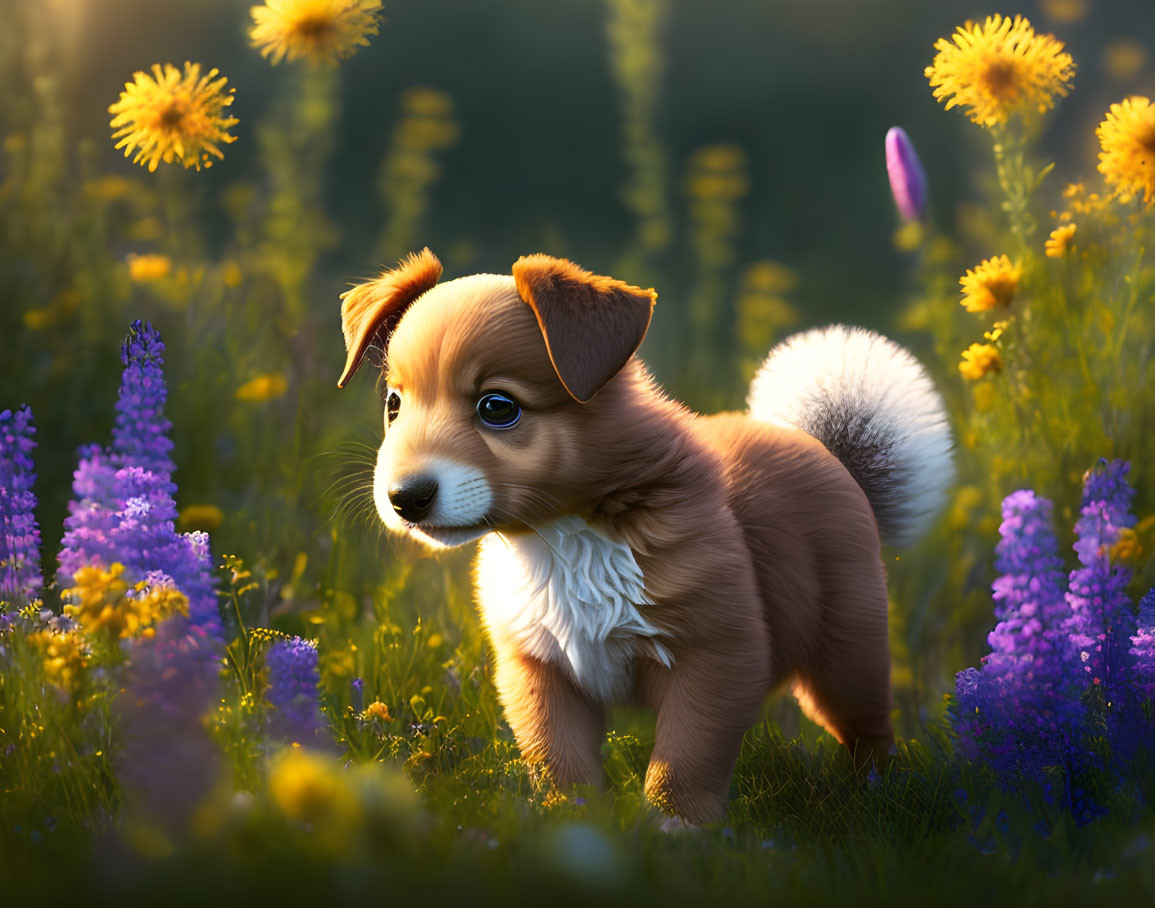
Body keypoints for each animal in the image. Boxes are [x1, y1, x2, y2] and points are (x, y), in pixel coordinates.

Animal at [337, 247, 951, 822]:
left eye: (498, 407)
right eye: (394, 404)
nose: (405, 499)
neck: (564, 537)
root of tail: (828, 451)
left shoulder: (716, 657)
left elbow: (687, 757)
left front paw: (672, 829)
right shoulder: (538, 668)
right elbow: (558, 757)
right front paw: (573, 823)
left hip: (848, 652)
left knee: (868, 727)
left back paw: (875, 793)